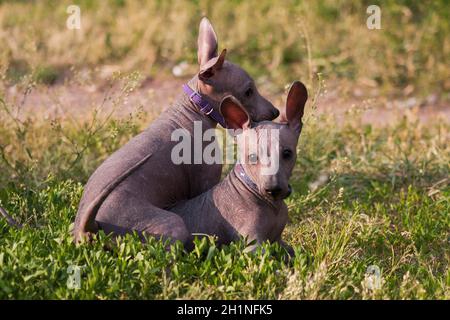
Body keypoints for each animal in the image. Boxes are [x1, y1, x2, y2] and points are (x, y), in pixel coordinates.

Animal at [73, 17, 278, 242]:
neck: (191, 112)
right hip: (173, 223)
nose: (276, 111)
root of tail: (88, 225)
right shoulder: (205, 183)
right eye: (249, 91)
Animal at [172, 80, 310, 252]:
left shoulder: (278, 241)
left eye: (287, 153)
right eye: (252, 157)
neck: (272, 205)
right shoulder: (252, 245)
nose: (273, 189)